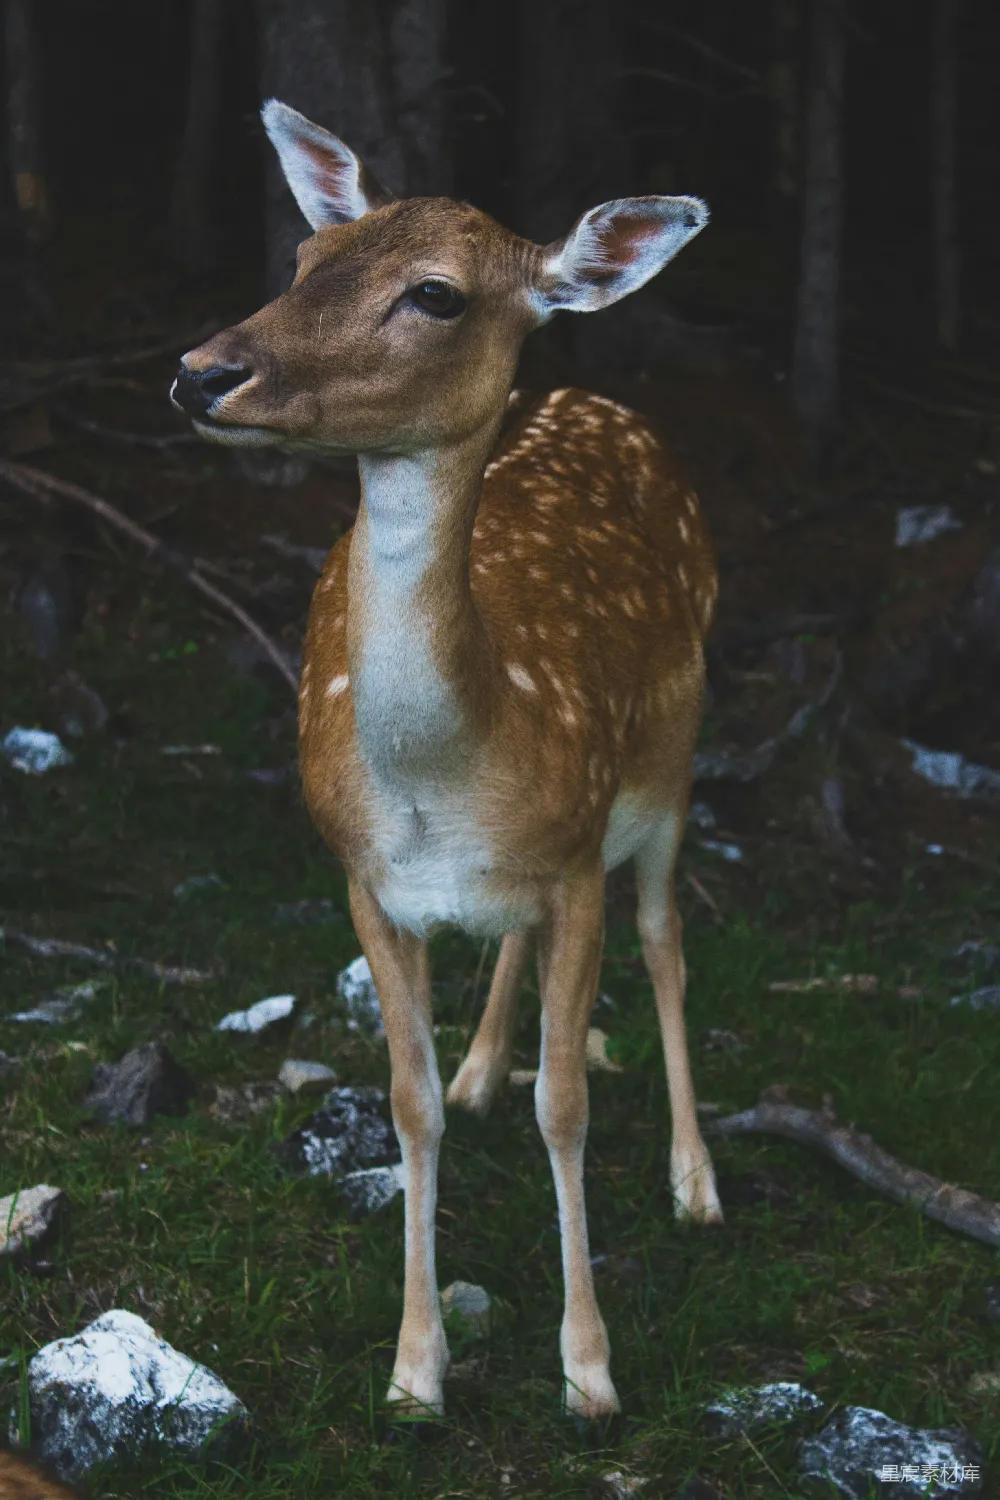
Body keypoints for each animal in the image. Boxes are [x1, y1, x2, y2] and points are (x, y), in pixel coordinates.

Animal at [171, 99, 723, 1427]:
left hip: (671, 763)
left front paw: (589, 1370)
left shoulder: (576, 860)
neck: (449, 773)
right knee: (519, 955)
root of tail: (603, 401)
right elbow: (406, 1104)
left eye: (435, 294)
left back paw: (696, 1183)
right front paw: (415, 1369)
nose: (203, 371)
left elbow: (567, 1102)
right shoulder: (366, 879)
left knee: (665, 936)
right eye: (308, 258)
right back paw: (481, 1068)